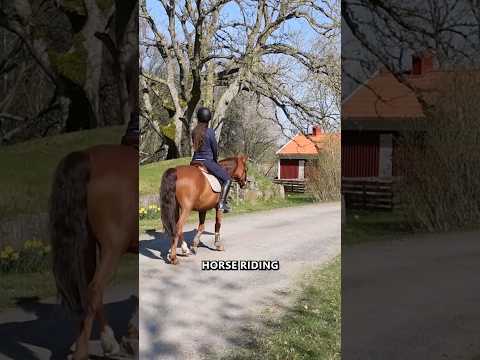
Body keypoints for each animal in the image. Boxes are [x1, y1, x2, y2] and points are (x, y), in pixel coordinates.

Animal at [49, 144, 139, 360]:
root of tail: (87, 156)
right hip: (113, 246)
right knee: (95, 289)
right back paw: (85, 351)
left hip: (87, 244)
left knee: (87, 291)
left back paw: (105, 341)